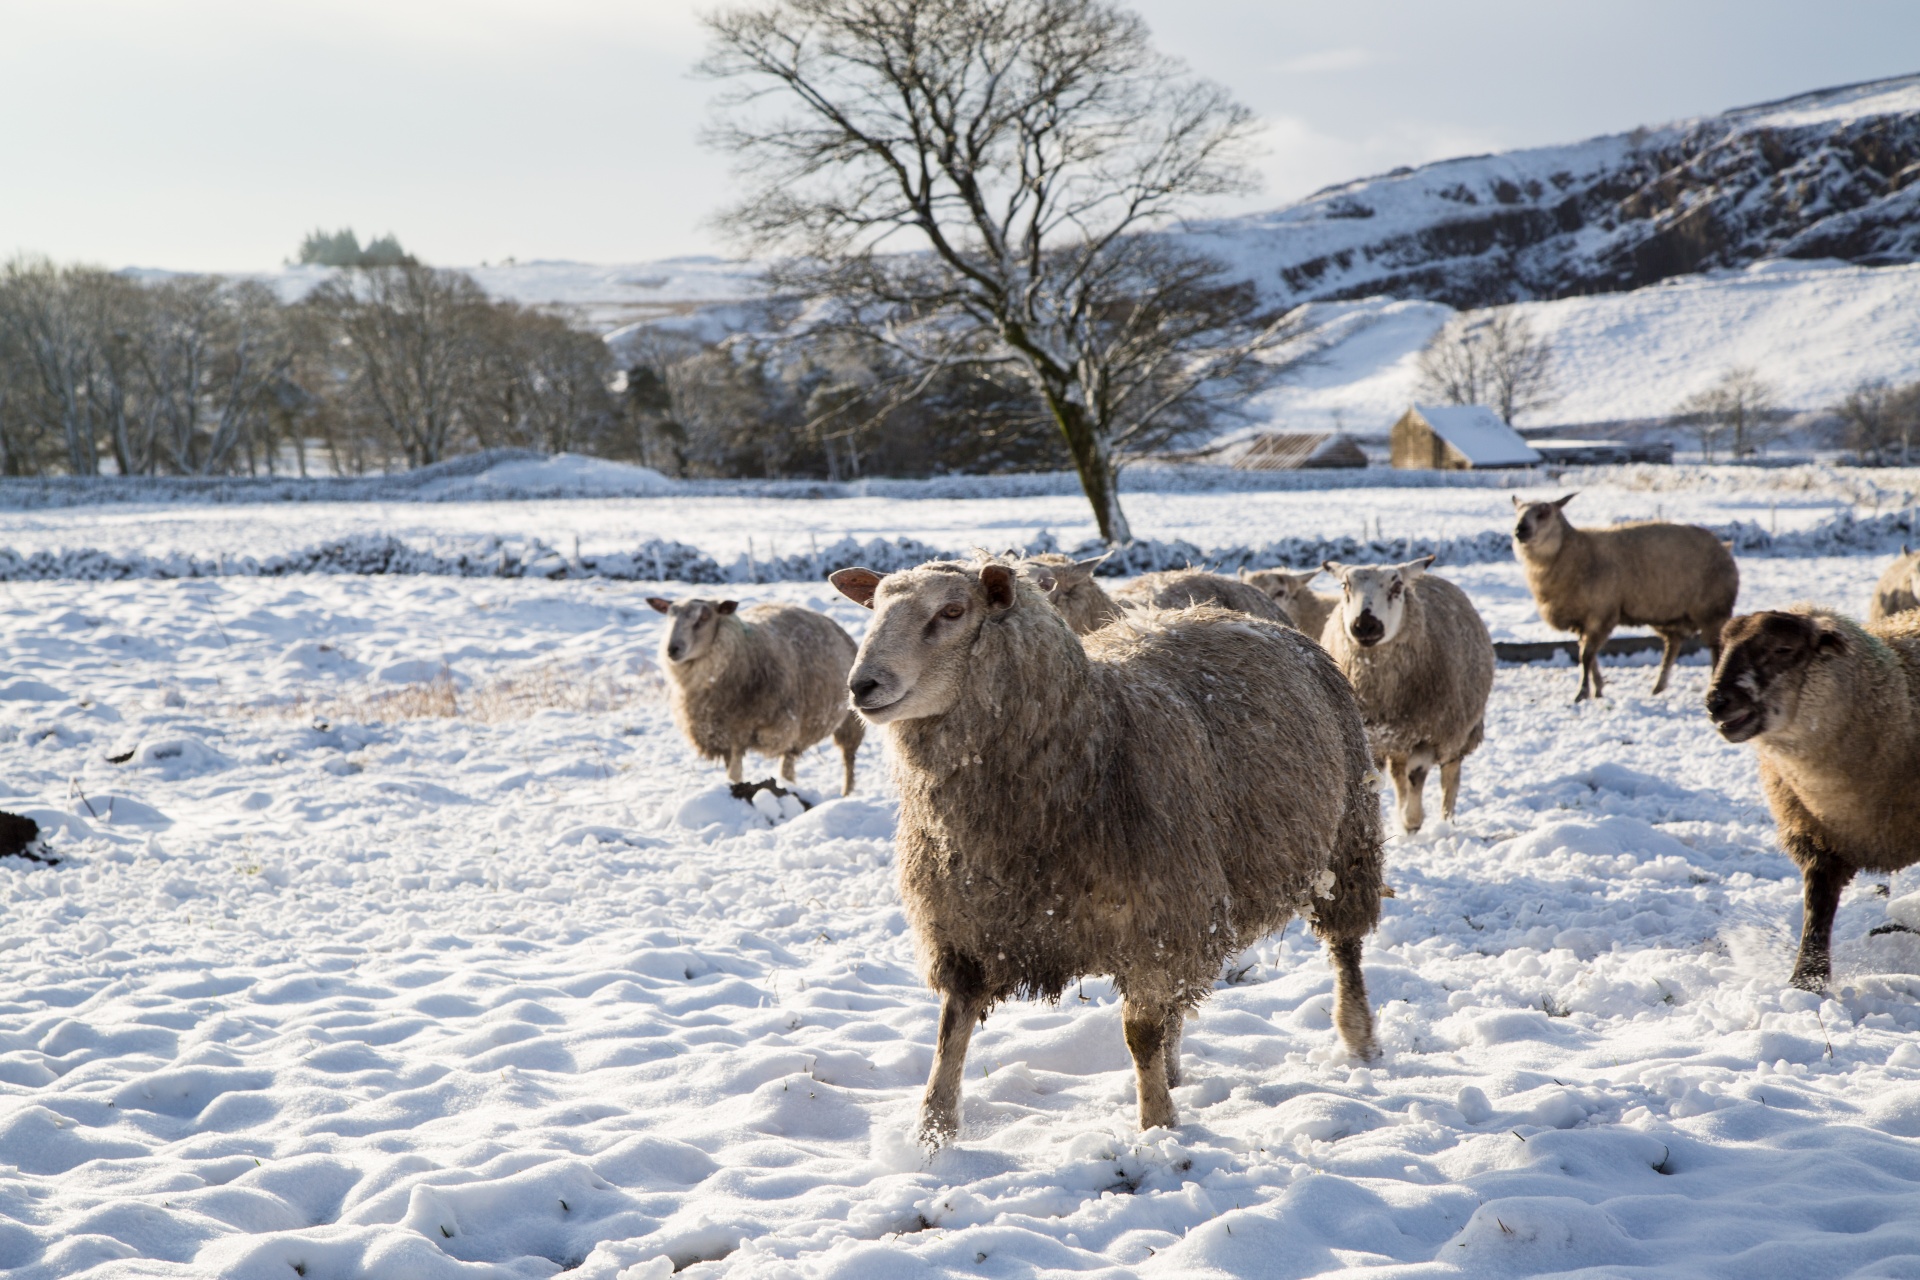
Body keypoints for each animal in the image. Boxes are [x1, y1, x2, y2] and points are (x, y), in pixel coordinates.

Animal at [645, 598, 864, 794]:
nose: (672, 649)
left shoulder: (742, 732)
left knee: (848, 760)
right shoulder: (721, 735)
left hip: (845, 722)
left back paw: (846, 793)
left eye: (704, 617)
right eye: (669, 616)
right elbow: (732, 772)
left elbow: (734, 774)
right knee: (789, 763)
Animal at [825, 560, 1382, 1143]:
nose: (861, 686)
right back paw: (1176, 1072)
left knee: (1345, 949)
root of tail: (1233, 614)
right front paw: (933, 1134)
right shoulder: (969, 928)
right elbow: (950, 1030)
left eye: (952, 611)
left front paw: (1156, 1127)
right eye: (875, 607)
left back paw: (1359, 1039)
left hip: (1348, 840)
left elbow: (1140, 1032)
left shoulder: (1158, 924)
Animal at [1320, 556, 1497, 836]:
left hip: (1458, 729)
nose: (1365, 625)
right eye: (1344, 586)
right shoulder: (1375, 738)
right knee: (1398, 774)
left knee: (1450, 774)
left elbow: (1417, 775)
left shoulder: (1428, 734)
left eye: (1396, 587)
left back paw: (1446, 821)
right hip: (1401, 739)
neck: (1384, 697)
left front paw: (1412, 821)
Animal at [1512, 498, 1743, 702]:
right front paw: (1598, 688)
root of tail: (1723, 545)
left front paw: (1583, 693)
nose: (1519, 530)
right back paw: (1658, 687)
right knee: (1673, 644)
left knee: (1716, 647)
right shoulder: (1583, 618)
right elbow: (1587, 654)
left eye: (1544, 513)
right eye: (1518, 512)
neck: (1572, 552)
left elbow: (1586, 655)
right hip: (1668, 613)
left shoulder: (1601, 613)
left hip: (1712, 609)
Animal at [1712, 610, 1920, 990]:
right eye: (1723, 647)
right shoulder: (1817, 840)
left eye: (1783, 648)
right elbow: (1816, 912)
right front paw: (1806, 981)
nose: (1716, 702)